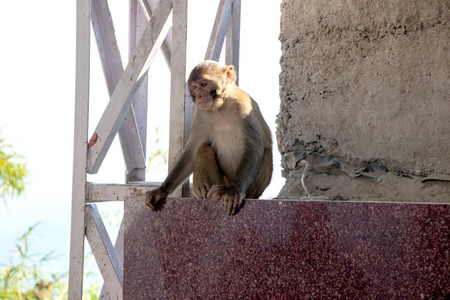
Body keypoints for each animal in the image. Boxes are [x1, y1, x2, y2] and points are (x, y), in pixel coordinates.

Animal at [145, 61, 270, 214]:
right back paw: (203, 191)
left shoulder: (243, 108)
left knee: (265, 153)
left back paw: (221, 192)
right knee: (203, 149)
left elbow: (253, 149)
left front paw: (234, 192)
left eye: (203, 84)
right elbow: (191, 154)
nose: (199, 95)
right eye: (194, 87)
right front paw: (161, 190)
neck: (221, 107)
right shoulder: (200, 116)